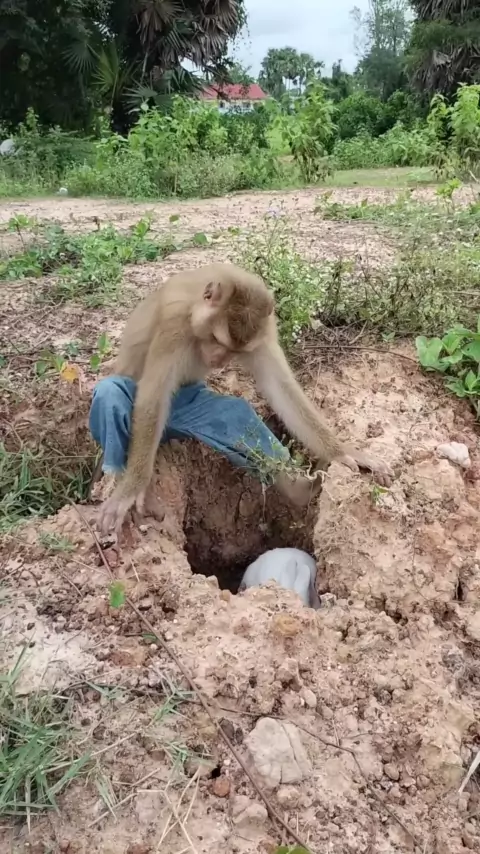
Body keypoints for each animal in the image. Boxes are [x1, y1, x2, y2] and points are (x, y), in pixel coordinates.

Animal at [95, 262, 393, 535]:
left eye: (233, 351)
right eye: (218, 341)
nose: (219, 360)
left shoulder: (264, 332)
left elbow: (281, 389)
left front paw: (343, 451)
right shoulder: (174, 323)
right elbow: (152, 398)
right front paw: (132, 487)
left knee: (234, 414)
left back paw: (301, 490)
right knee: (111, 392)